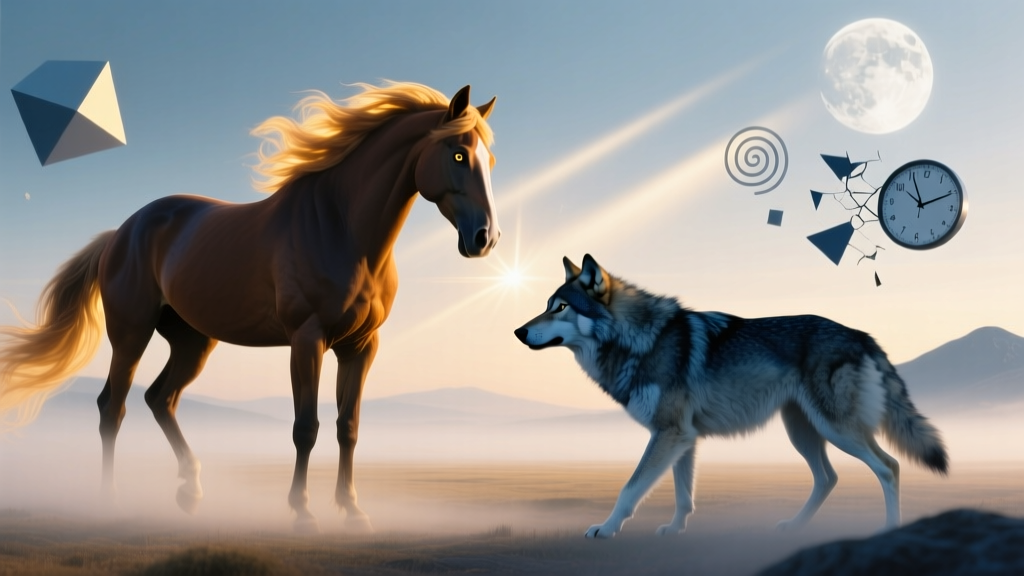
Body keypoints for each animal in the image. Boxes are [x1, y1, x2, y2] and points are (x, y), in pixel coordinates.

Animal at [0, 81, 499, 532]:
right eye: (458, 154)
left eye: (490, 160)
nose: (485, 238)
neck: (342, 229)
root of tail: (121, 233)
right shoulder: (307, 340)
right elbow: (306, 427)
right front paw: (302, 511)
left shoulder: (361, 346)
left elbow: (349, 427)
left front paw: (353, 511)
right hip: (131, 335)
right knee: (113, 408)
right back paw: (110, 501)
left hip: (193, 342)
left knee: (160, 399)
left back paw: (190, 490)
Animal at [514, 254, 948, 539]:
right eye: (546, 306)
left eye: (561, 306)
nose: (518, 331)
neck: (640, 339)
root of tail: (863, 335)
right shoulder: (683, 438)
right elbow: (682, 494)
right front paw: (675, 528)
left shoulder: (669, 433)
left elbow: (630, 489)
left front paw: (605, 528)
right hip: (803, 432)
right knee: (828, 477)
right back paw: (795, 526)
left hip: (837, 430)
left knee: (889, 467)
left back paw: (889, 529)